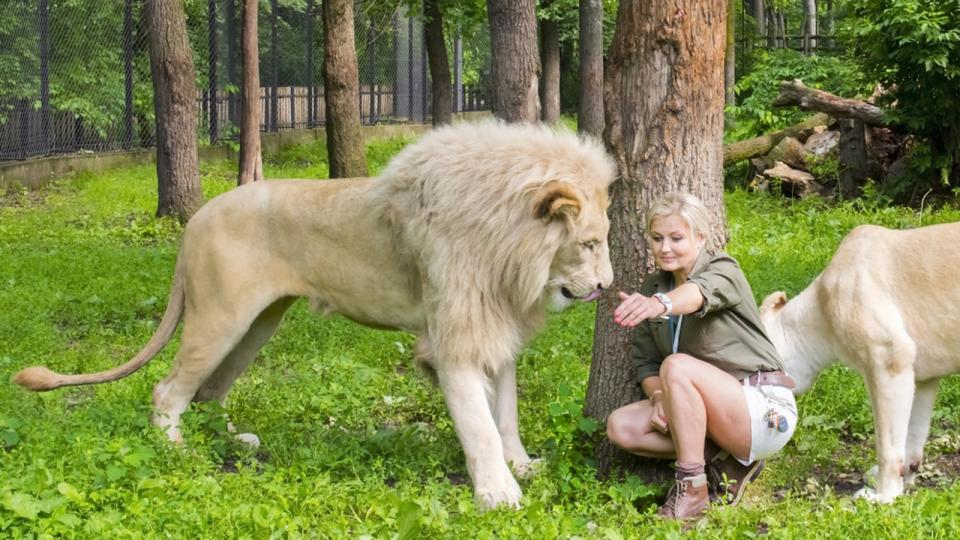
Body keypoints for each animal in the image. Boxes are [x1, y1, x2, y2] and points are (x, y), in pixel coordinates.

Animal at [13, 120, 616, 508]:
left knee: (209, 391)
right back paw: (176, 450)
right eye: (589, 243)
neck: (510, 253)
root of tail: (197, 218)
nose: (607, 286)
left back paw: (228, 442)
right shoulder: (454, 337)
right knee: (168, 390)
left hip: (257, 325)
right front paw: (499, 494)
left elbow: (506, 413)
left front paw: (523, 466)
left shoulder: (496, 328)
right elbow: (479, 424)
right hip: (220, 318)